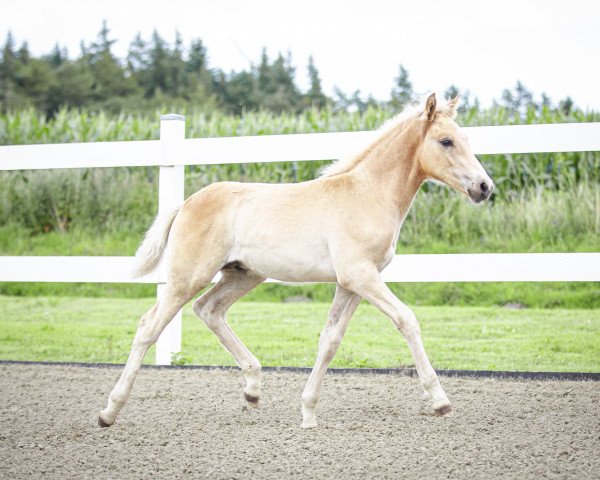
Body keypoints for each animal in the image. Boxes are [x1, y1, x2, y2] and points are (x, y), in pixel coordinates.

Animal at [98, 93, 492, 428]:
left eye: (466, 138)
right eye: (446, 141)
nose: (485, 187)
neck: (367, 194)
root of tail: (186, 203)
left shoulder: (352, 283)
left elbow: (330, 339)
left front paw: (308, 413)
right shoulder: (361, 275)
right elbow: (407, 320)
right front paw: (440, 401)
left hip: (243, 275)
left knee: (208, 309)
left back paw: (253, 389)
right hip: (188, 276)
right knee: (149, 326)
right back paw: (108, 412)